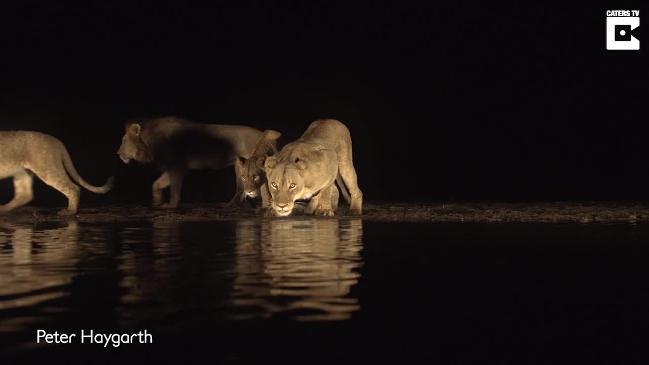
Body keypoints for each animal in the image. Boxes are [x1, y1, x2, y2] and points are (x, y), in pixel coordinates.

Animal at [117, 116, 264, 208]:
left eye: (124, 141)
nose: (117, 153)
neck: (150, 143)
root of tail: (261, 133)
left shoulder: (177, 166)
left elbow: (175, 188)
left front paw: (171, 205)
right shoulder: (173, 167)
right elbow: (156, 184)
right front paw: (157, 201)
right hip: (240, 168)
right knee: (241, 188)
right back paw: (230, 205)